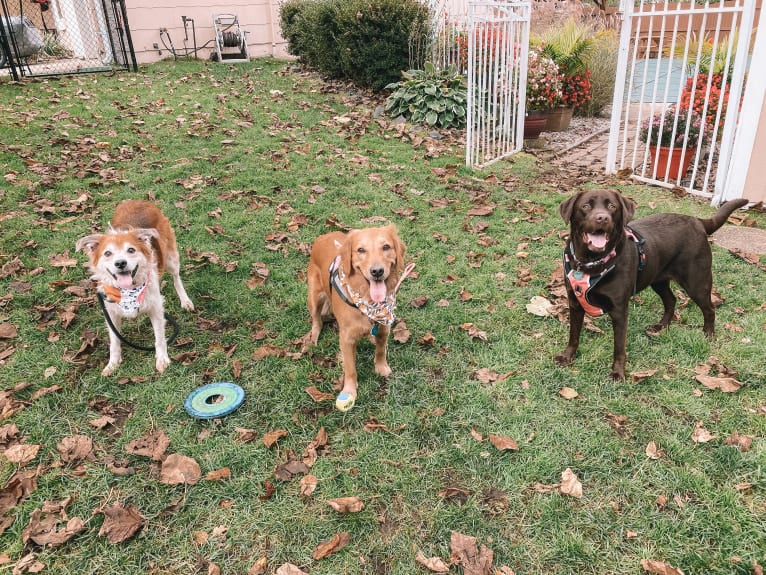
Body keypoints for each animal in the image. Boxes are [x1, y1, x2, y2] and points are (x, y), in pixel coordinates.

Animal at [76, 200, 195, 376]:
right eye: (107, 253)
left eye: (131, 250)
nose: (120, 263)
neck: (129, 292)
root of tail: (138, 200)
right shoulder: (111, 313)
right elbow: (114, 341)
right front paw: (113, 363)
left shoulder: (156, 308)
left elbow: (159, 338)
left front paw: (162, 359)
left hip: (170, 257)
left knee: (176, 277)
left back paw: (185, 300)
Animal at [308, 224, 414, 410]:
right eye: (361, 250)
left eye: (386, 247)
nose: (377, 271)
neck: (369, 303)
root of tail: (323, 236)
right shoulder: (346, 338)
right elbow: (350, 367)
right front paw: (349, 390)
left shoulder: (384, 328)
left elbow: (380, 350)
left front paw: (381, 367)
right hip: (314, 296)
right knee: (317, 320)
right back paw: (313, 337)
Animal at [556, 190, 748, 382]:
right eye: (585, 206)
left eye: (612, 206)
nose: (602, 218)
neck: (590, 263)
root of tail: (696, 220)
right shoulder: (574, 303)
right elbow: (573, 335)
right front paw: (567, 356)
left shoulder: (619, 311)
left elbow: (619, 347)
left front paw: (618, 372)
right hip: (658, 280)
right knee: (671, 300)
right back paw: (661, 326)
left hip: (696, 282)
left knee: (709, 309)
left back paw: (708, 334)